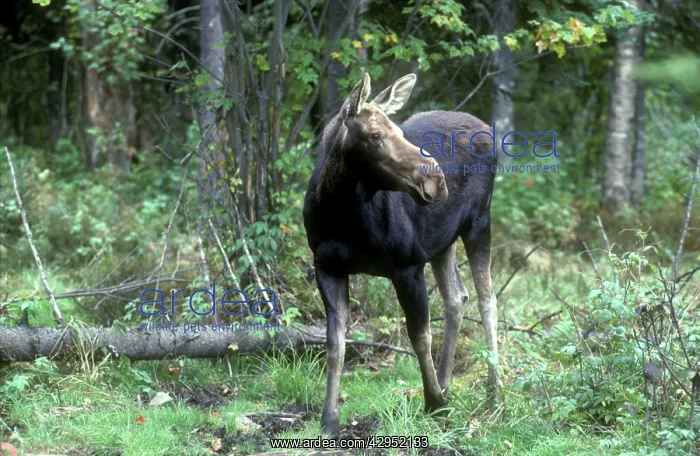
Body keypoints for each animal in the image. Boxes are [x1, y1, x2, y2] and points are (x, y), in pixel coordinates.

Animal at [303, 72, 502, 437]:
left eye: (396, 127)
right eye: (375, 134)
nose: (436, 180)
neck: (343, 217)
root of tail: (486, 129)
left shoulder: (408, 265)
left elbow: (419, 335)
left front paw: (434, 404)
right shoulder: (326, 267)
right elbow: (335, 344)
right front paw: (328, 419)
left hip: (479, 222)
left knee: (487, 299)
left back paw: (495, 391)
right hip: (442, 241)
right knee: (457, 297)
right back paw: (446, 381)